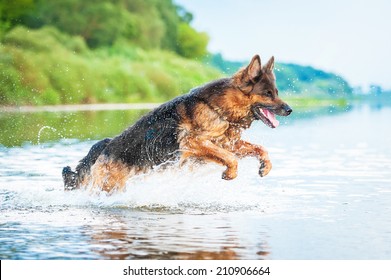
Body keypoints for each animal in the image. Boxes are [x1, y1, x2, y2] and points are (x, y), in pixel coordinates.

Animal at [62, 55, 292, 194]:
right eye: (267, 94)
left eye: (276, 92)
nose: (289, 109)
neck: (218, 107)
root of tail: (104, 148)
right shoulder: (194, 142)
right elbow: (230, 158)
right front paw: (230, 173)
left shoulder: (226, 143)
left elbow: (259, 149)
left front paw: (266, 166)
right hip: (109, 186)